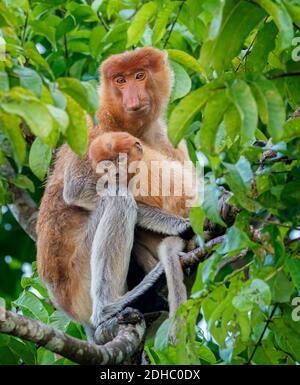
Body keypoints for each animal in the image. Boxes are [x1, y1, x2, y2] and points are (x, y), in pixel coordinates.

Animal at [37, 47, 197, 340]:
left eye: (139, 75)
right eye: (120, 80)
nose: (133, 98)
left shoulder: (170, 140)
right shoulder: (96, 123)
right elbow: (78, 188)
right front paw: (181, 226)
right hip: (79, 282)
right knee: (120, 201)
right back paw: (110, 308)